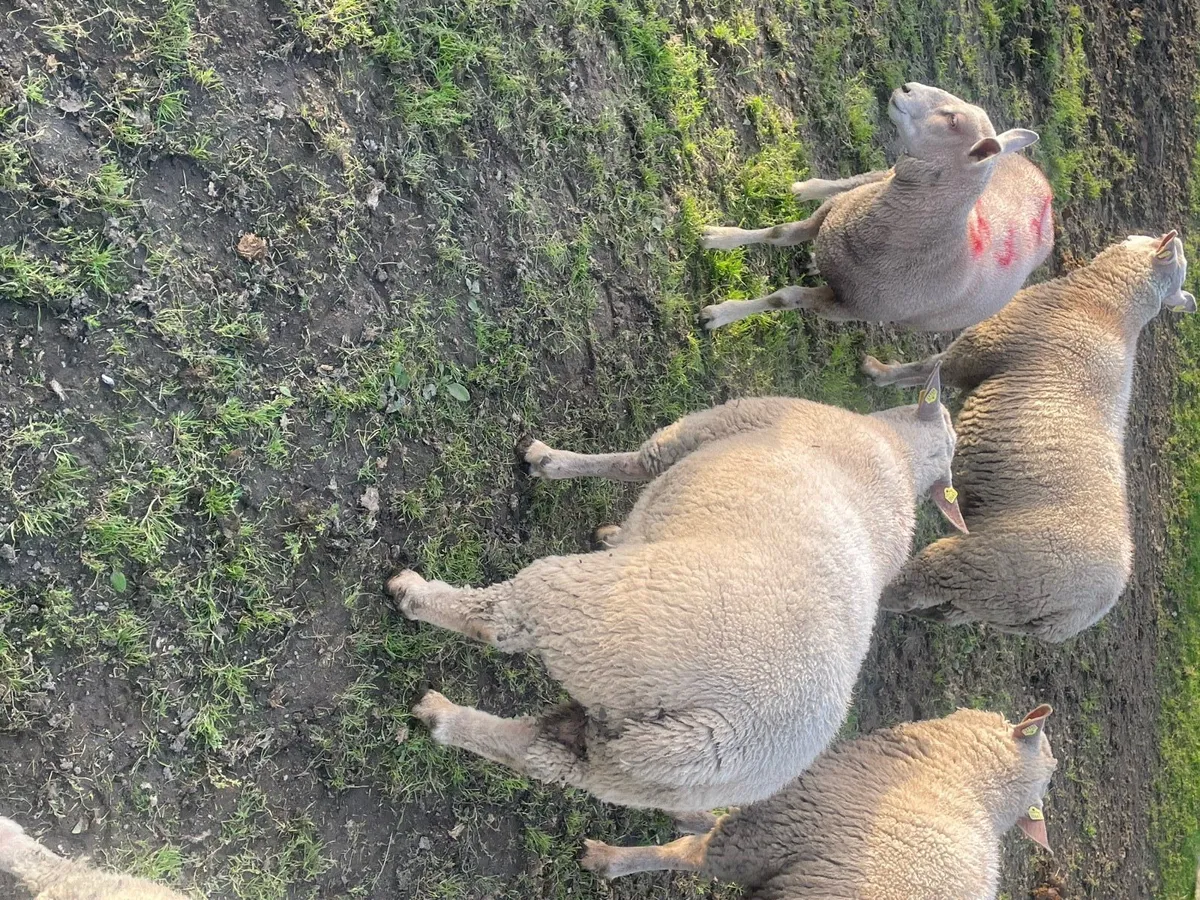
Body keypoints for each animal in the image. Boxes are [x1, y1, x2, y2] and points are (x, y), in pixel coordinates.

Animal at [387, 366, 964, 818]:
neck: (897, 454)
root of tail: (722, 731)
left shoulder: (709, 427)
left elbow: (636, 462)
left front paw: (547, 461)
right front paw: (612, 531)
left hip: (597, 617)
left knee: (500, 620)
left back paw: (414, 599)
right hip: (629, 770)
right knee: (541, 755)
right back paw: (445, 720)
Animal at [699, 82, 1052, 332]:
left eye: (953, 121)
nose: (906, 87)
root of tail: (1046, 189)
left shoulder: (845, 307)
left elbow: (782, 298)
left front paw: (720, 314)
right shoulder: (832, 216)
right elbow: (779, 232)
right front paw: (718, 237)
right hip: (874, 179)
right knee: (846, 184)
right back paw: (805, 189)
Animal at [863, 231, 1196, 641]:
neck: (1108, 307)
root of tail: (1071, 616)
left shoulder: (983, 346)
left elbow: (928, 368)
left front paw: (878, 371)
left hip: (983, 567)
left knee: (913, 589)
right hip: (987, 599)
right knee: (941, 609)